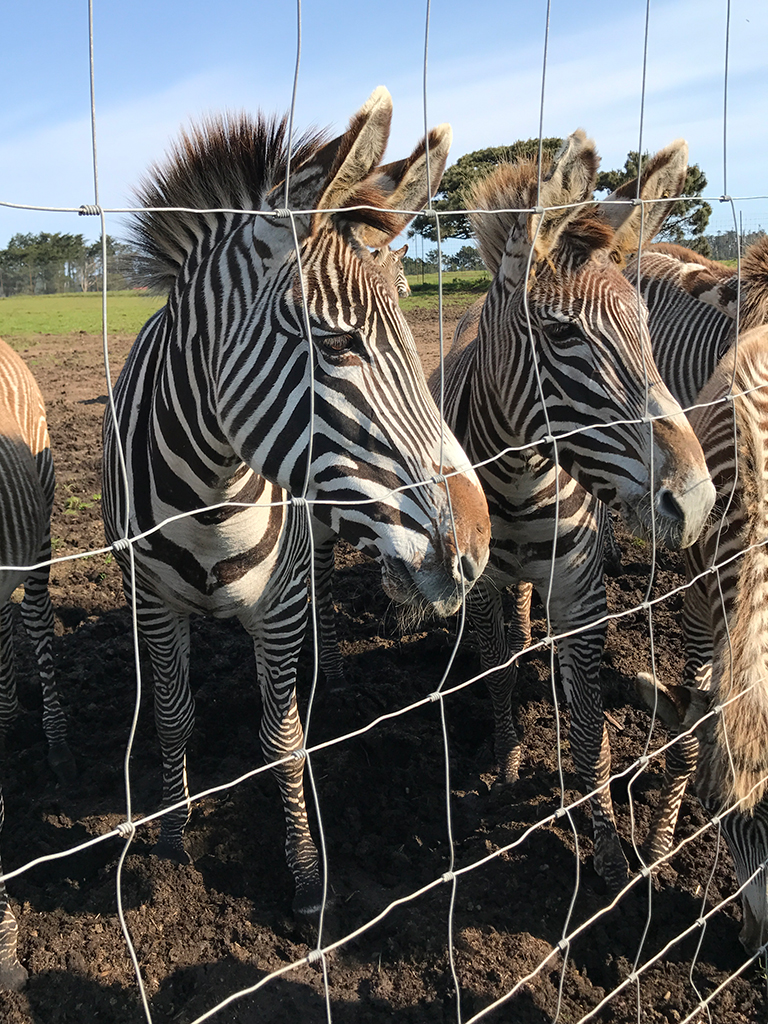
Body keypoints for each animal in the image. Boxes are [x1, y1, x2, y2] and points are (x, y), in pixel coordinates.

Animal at [102, 88, 489, 917]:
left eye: (409, 324)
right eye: (339, 346)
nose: (475, 546)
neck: (211, 496)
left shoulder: (279, 608)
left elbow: (281, 739)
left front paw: (308, 873)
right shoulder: (153, 603)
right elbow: (173, 717)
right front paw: (173, 838)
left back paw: (332, 675)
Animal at [434, 134, 716, 888]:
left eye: (645, 325)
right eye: (561, 334)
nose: (699, 501)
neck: (523, 479)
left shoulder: (583, 591)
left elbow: (590, 727)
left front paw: (611, 852)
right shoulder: (480, 584)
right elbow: (498, 670)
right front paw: (506, 762)